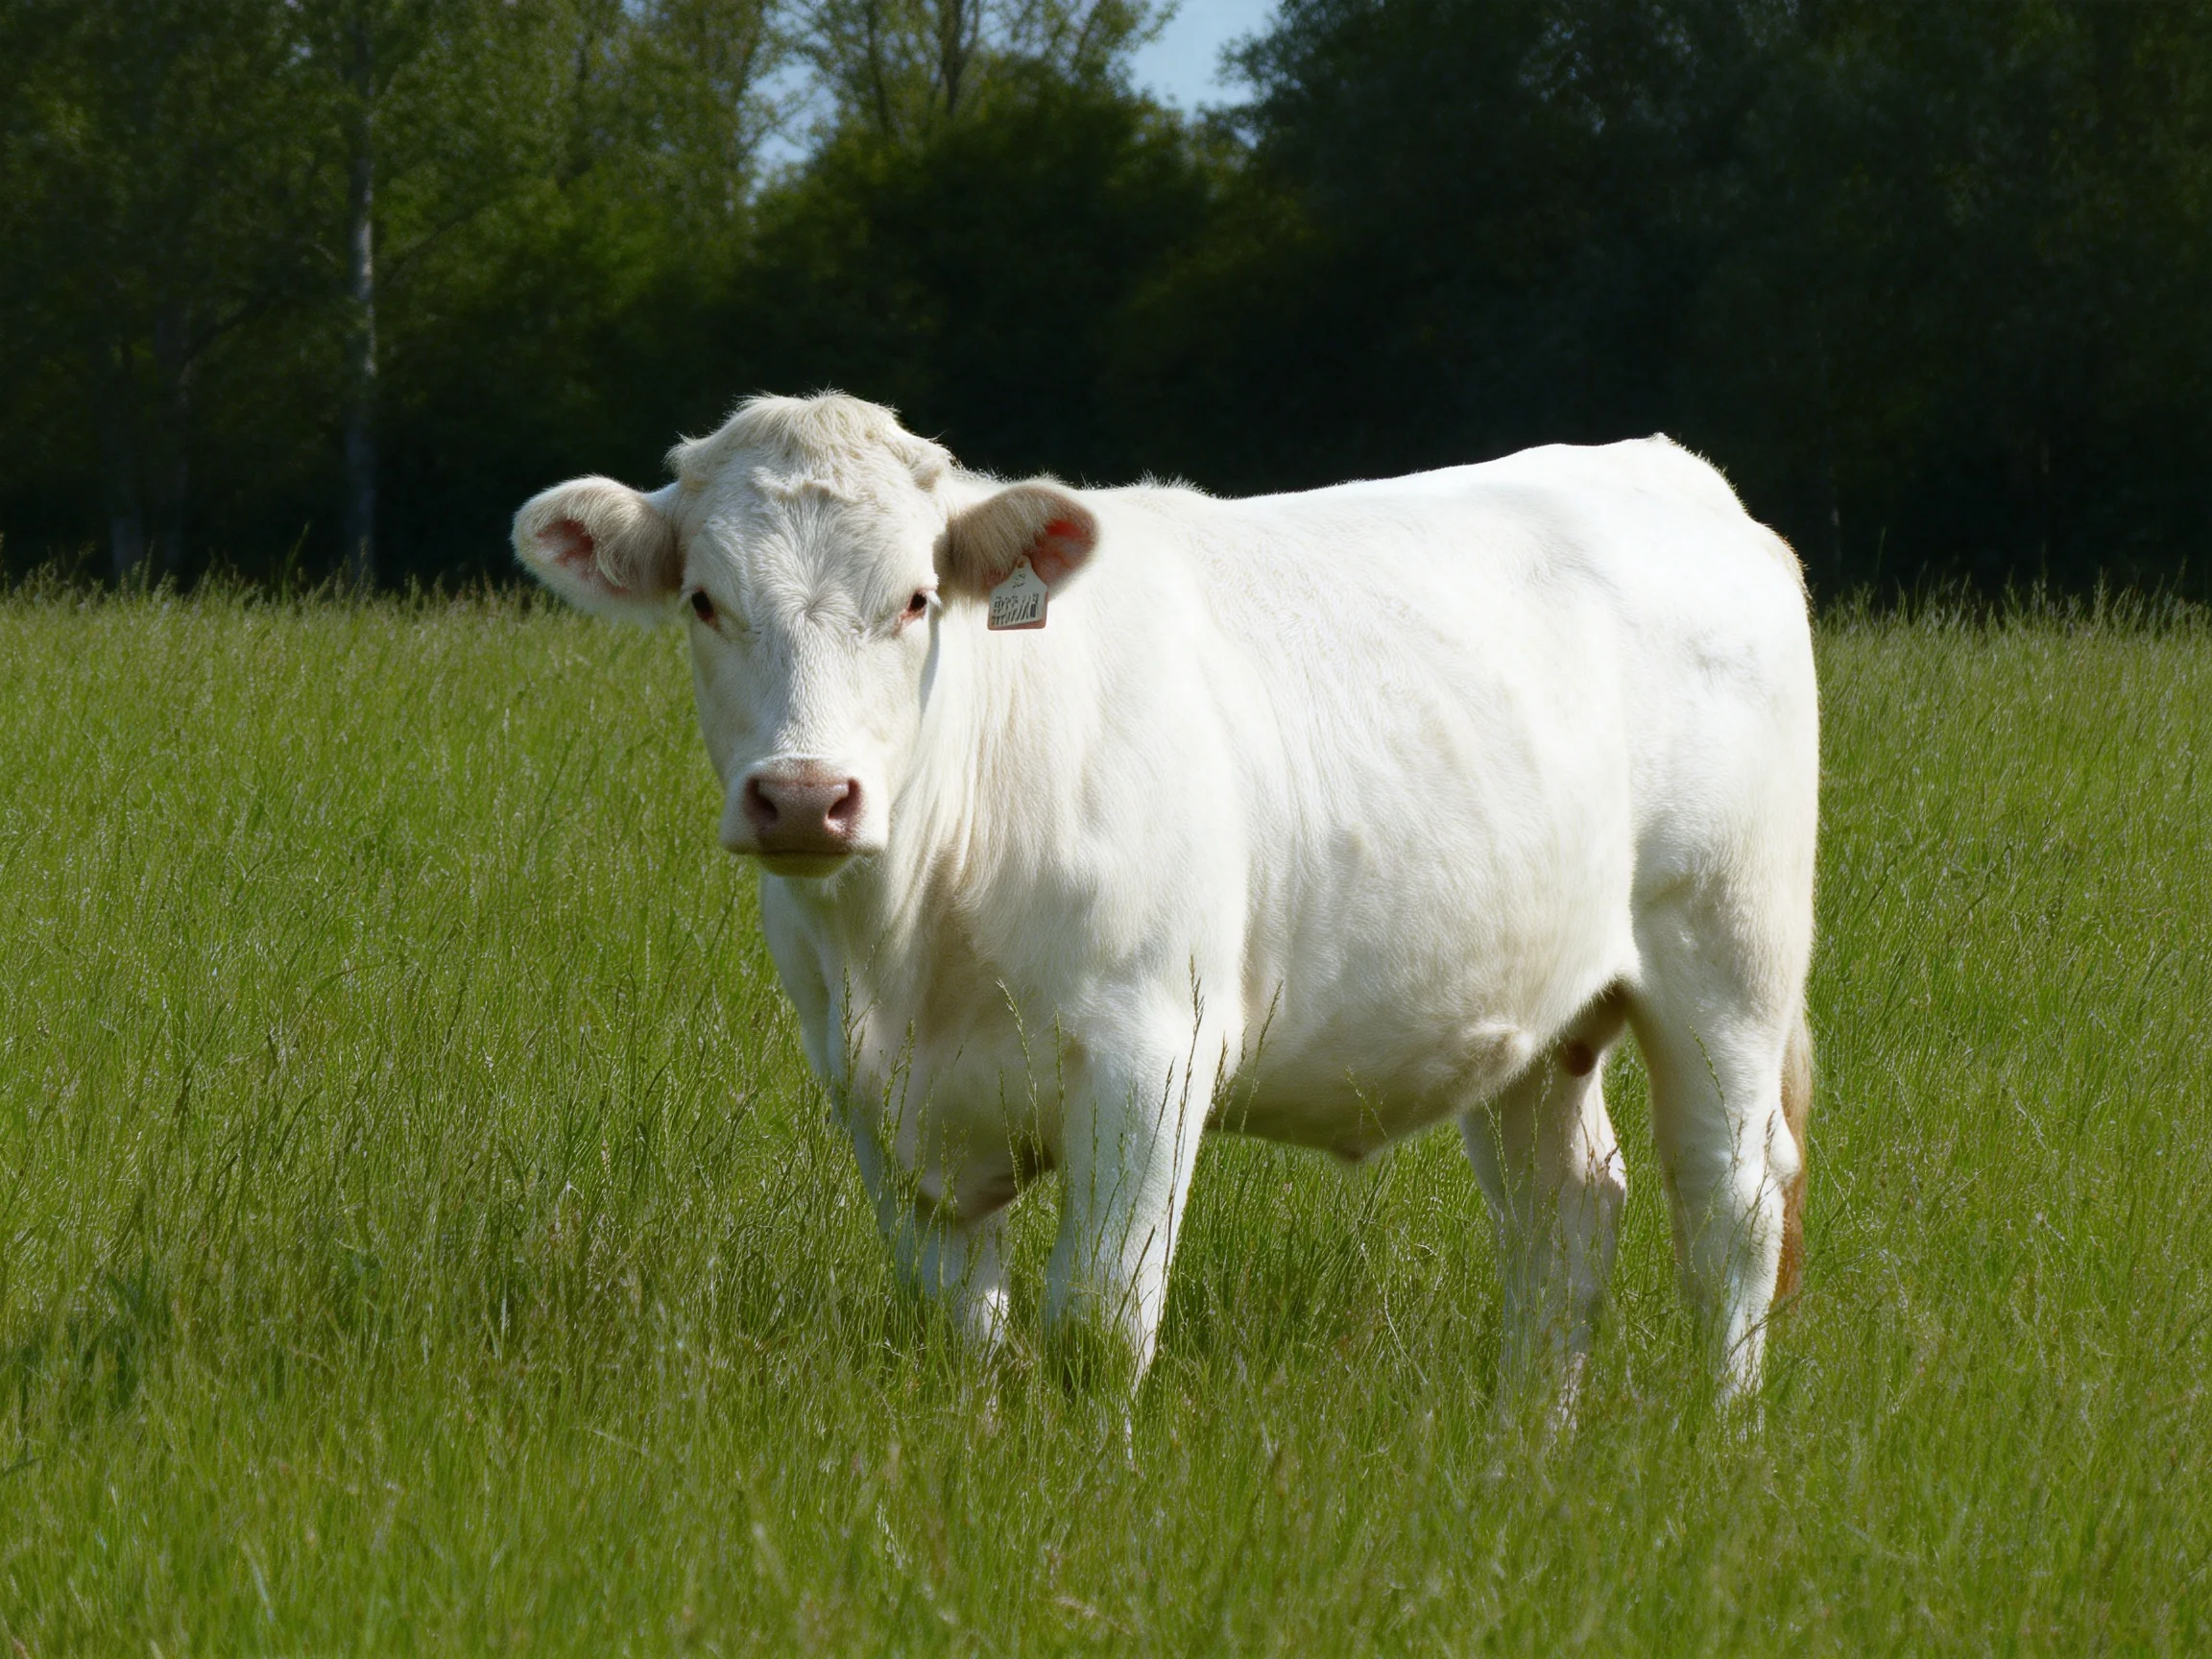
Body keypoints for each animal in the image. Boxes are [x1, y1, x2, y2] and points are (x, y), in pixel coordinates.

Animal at [512, 393, 1818, 1409]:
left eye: (917, 600)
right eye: (704, 602)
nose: (801, 797)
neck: (906, 946)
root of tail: (1667, 468)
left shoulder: (1150, 1052)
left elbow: (1097, 1324)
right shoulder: (870, 1093)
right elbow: (959, 1330)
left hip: (1727, 959)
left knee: (1730, 1206)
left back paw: (1719, 1441)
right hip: (1533, 1018)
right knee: (1566, 1222)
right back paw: (1523, 1454)